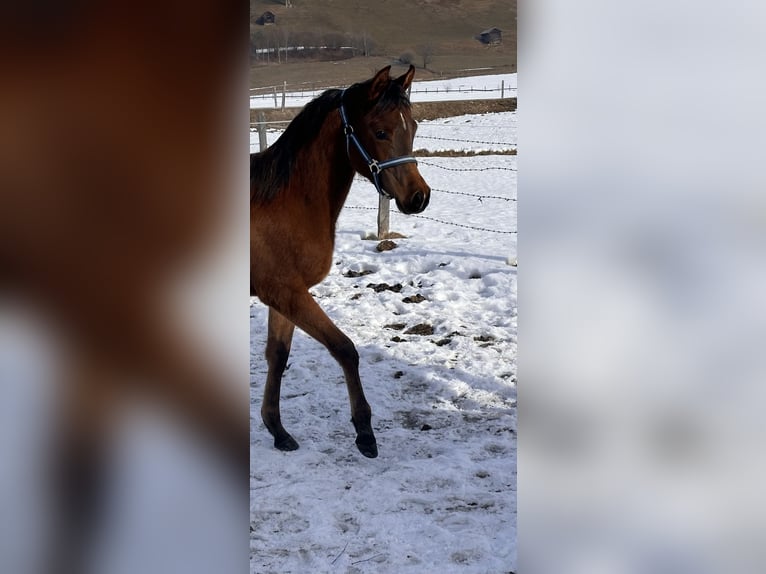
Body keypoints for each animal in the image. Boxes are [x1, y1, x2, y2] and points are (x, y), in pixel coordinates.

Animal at [252, 66, 432, 460]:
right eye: (380, 131)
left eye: (412, 126)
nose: (419, 197)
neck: (282, 203)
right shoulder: (286, 292)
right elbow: (344, 349)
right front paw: (364, 432)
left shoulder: (285, 295)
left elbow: (278, 355)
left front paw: (277, 430)